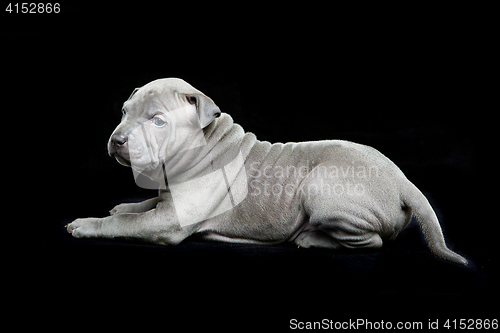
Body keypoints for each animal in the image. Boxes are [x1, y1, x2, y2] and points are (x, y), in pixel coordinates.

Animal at [64, 77, 466, 264]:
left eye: (158, 120)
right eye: (123, 111)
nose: (117, 140)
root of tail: (404, 181)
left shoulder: (168, 220)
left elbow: (127, 224)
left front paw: (89, 223)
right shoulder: (167, 199)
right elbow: (142, 206)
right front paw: (124, 204)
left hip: (320, 188)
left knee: (375, 242)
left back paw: (311, 239)